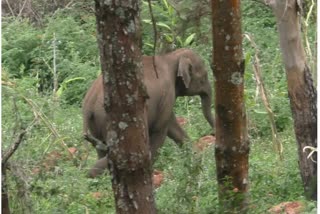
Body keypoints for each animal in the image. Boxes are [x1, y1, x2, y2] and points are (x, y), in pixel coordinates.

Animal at [82, 48, 214, 177]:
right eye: (204, 77)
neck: (171, 56)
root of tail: (89, 104)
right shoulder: (167, 94)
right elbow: (160, 131)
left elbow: (173, 127)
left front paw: (198, 163)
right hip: (109, 120)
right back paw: (92, 173)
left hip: (96, 125)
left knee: (101, 149)